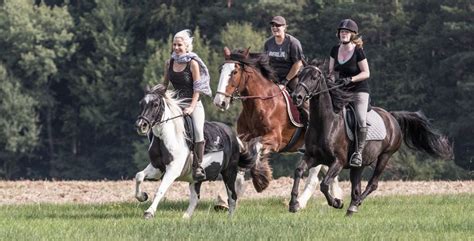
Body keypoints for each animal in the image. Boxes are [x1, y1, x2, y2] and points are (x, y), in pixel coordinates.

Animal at [135, 84, 262, 218]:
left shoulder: (173, 170)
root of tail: (233, 136)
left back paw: (229, 219)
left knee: (232, 197)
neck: (167, 138)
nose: (141, 125)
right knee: (195, 198)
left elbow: (160, 190)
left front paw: (149, 212)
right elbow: (139, 176)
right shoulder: (157, 168)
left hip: (229, 172)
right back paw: (185, 218)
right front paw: (142, 196)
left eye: (155, 104)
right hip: (196, 179)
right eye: (141, 103)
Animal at [213, 47, 342, 209]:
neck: (258, 105)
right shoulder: (244, 136)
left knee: (313, 179)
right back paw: (337, 195)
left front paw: (261, 180)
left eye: (234, 72)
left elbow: (256, 149)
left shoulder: (274, 140)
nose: (219, 102)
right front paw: (226, 199)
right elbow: (244, 156)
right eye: (220, 70)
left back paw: (300, 202)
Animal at [288, 64, 452, 215]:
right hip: (359, 165)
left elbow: (324, 184)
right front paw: (293, 204)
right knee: (356, 186)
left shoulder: (338, 161)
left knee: (372, 184)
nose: (296, 96)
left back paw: (354, 205)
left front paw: (337, 202)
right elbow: (298, 171)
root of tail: (391, 116)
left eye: (314, 78)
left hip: (385, 156)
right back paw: (352, 206)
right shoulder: (312, 157)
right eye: (299, 75)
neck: (326, 123)